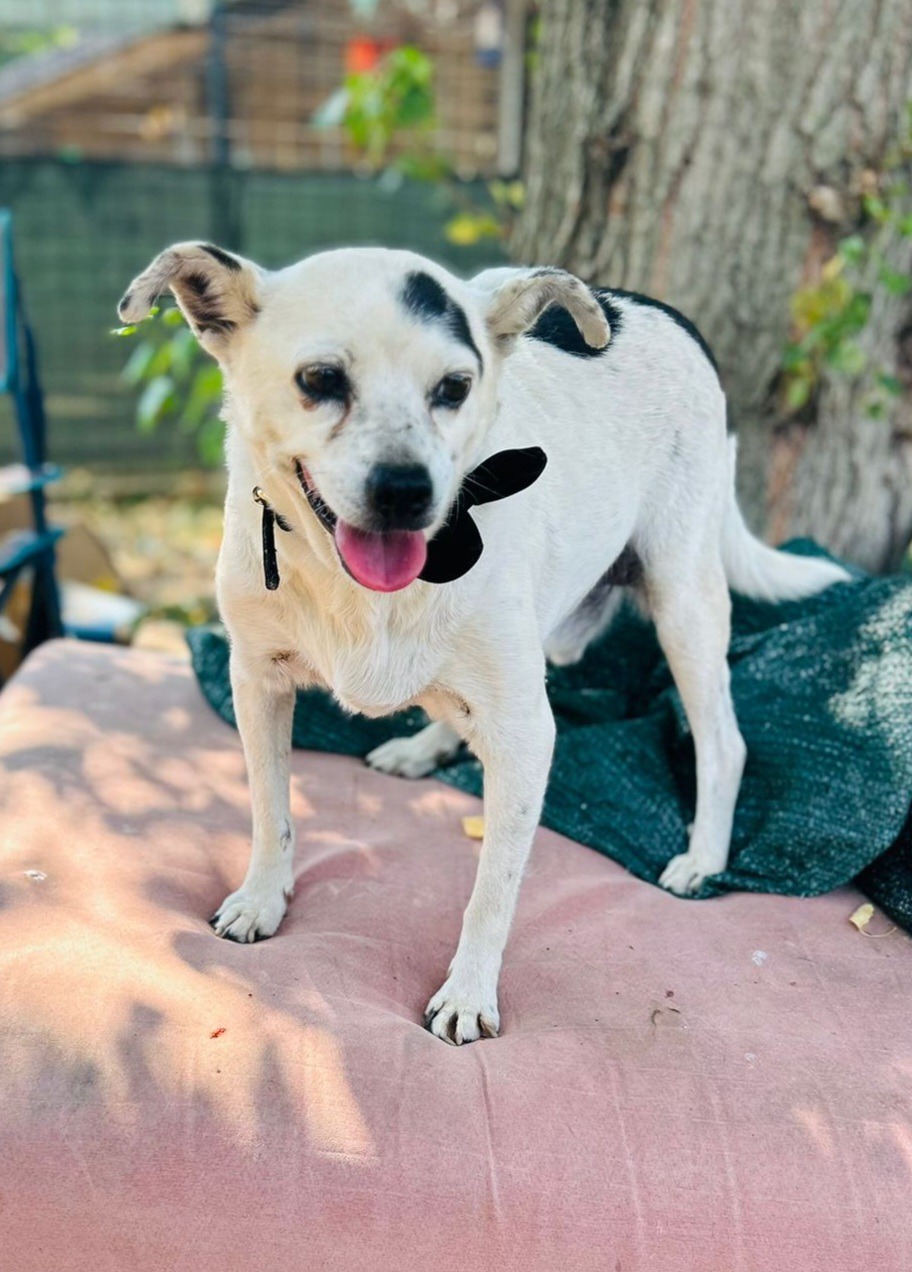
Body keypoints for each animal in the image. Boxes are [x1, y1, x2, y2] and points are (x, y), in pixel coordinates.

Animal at [118, 244, 848, 1044]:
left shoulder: (529, 735)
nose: (408, 492)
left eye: (455, 387)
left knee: (724, 740)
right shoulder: (259, 683)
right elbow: (269, 810)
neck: (365, 591)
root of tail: (656, 309)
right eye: (320, 380)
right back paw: (423, 745)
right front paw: (261, 898)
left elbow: (492, 887)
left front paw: (468, 993)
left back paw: (703, 857)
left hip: (681, 599)